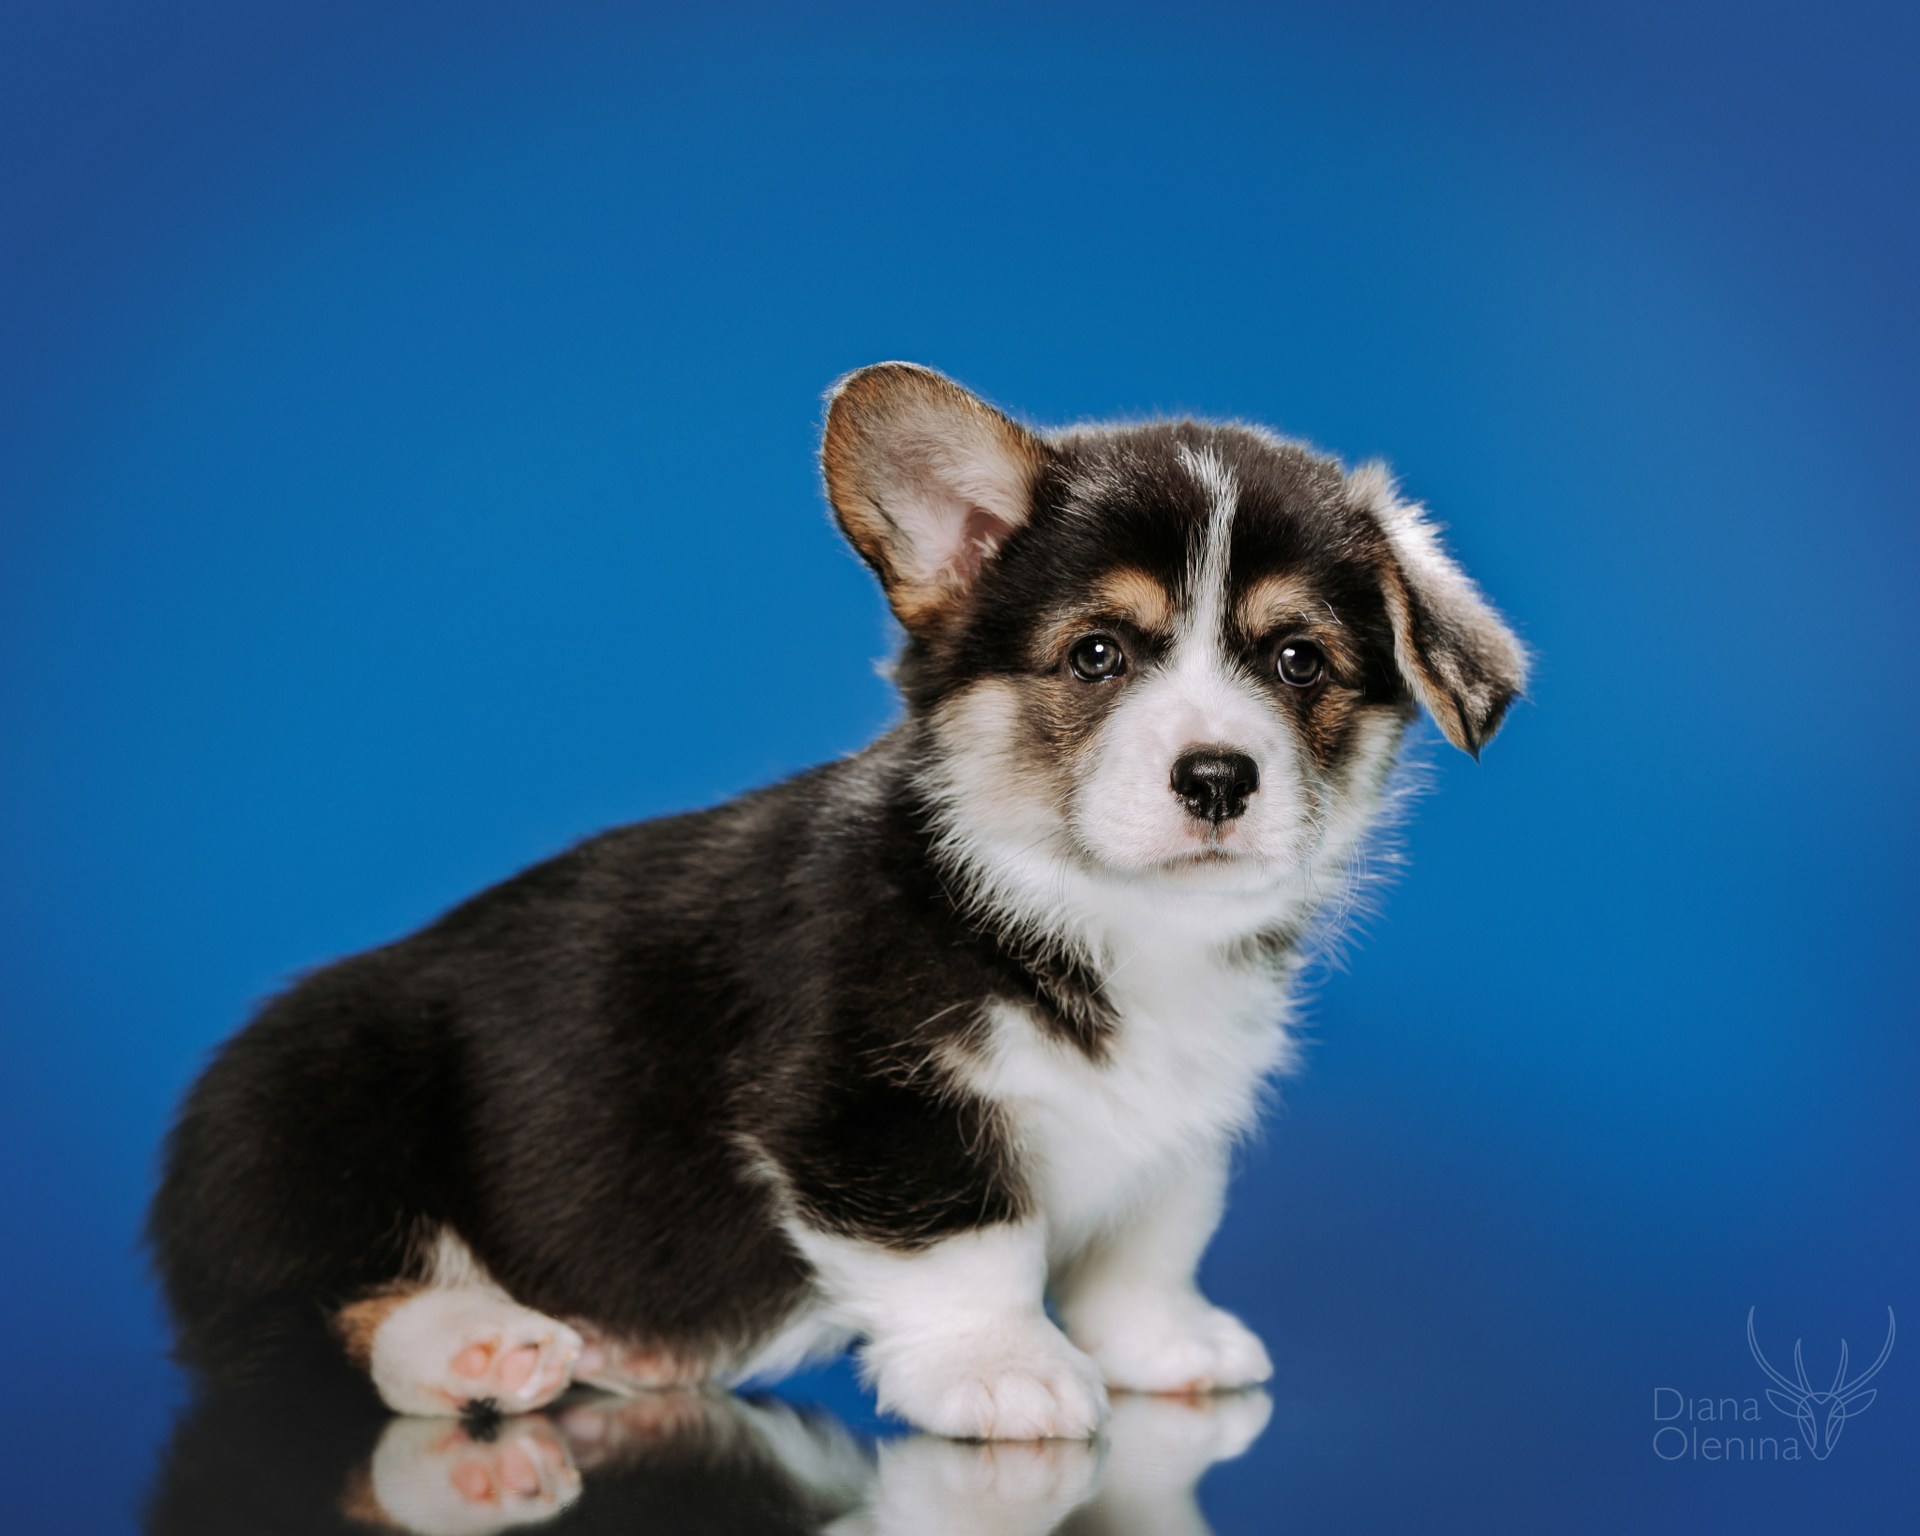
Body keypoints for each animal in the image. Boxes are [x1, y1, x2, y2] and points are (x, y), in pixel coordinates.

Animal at [145, 360, 1528, 1443]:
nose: (1218, 778)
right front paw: (1007, 1374)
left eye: (1299, 660)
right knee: (313, 1314)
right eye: (1097, 654)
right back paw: (475, 1346)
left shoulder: (1178, 1134)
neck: (1094, 917)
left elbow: (1153, 1240)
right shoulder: (870, 1109)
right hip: (315, 1111)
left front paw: (1163, 1345)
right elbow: (971, 1246)